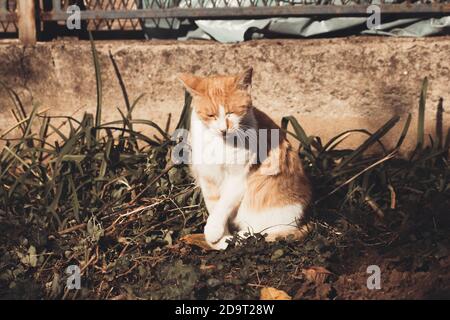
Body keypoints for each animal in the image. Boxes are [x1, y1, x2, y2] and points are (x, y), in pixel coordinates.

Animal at [178, 67, 312, 250]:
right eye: (211, 115)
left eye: (231, 113)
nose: (223, 129)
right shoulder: (208, 178)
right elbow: (214, 206)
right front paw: (219, 240)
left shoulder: (238, 178)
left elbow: (223, 206)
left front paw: (214, 232)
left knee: (266, 231)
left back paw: (240, 237)